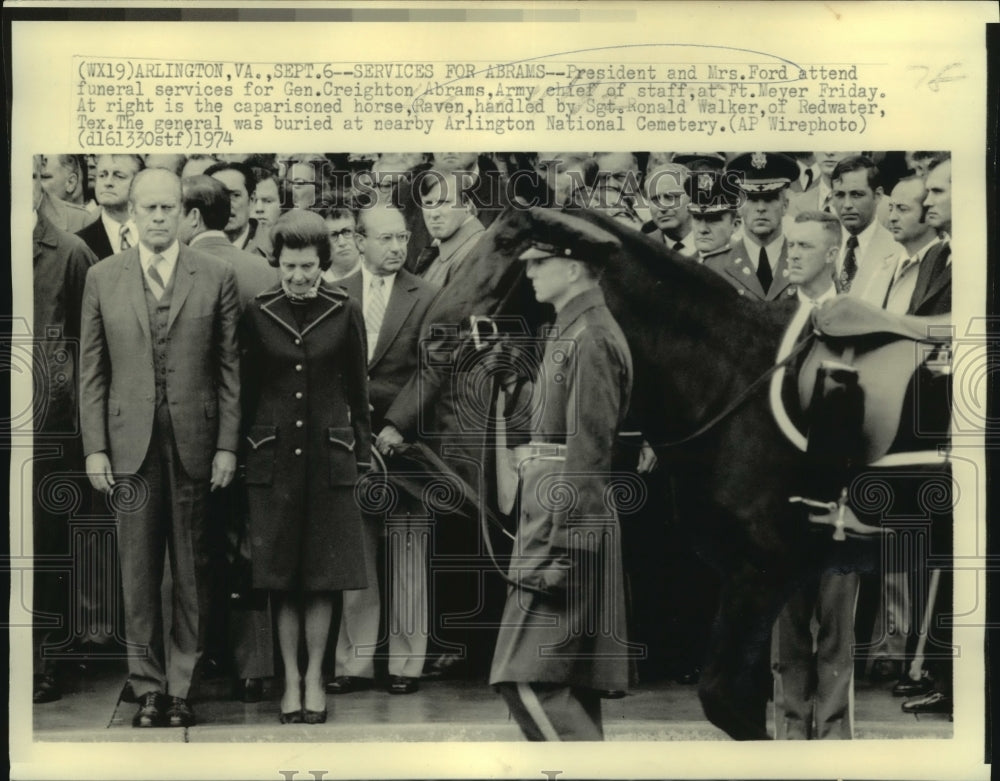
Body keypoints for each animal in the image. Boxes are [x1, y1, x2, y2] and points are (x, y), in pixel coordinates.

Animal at [410, 203, 872, 736]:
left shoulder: (763, 568)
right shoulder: (753, 575)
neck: (733, 379)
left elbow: (726, 700)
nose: (432, 333)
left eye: (506, 244)